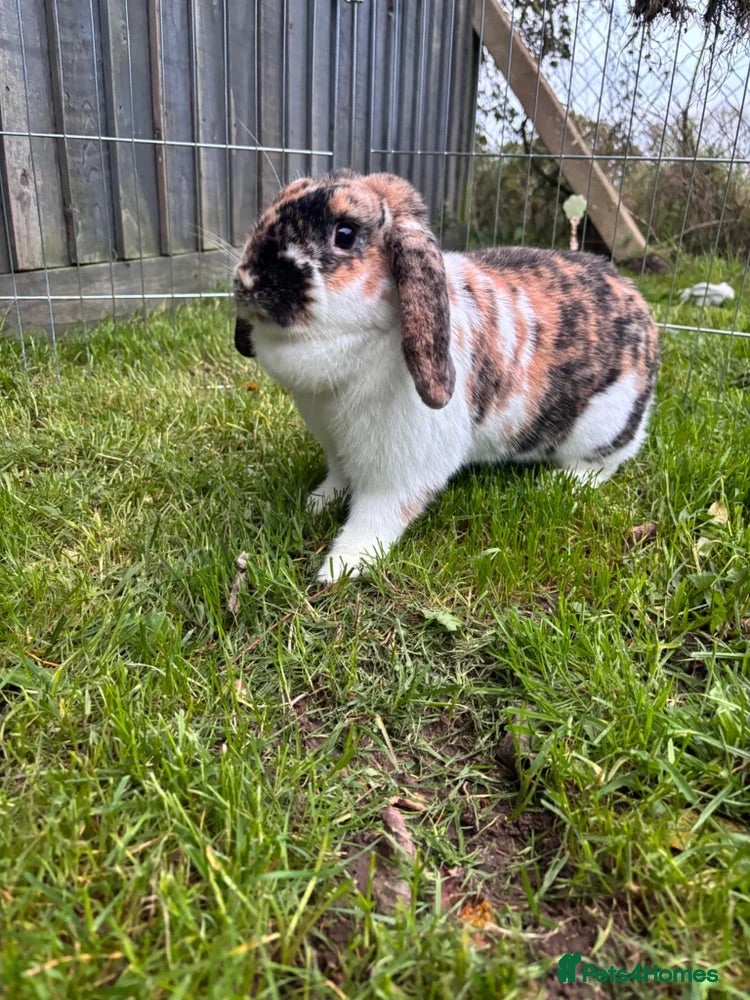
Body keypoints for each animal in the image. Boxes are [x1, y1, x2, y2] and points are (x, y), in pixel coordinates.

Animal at [233, 170, 659, 583]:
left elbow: (376, 518)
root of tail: (643, 311)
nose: (250, 280)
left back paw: (563, 482)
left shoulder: (399, 474)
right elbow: (338, 479)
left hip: (603, 426)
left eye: (345, 233)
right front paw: (316, 504)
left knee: (607, 461)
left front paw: (341, 567)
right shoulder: (335, 447)